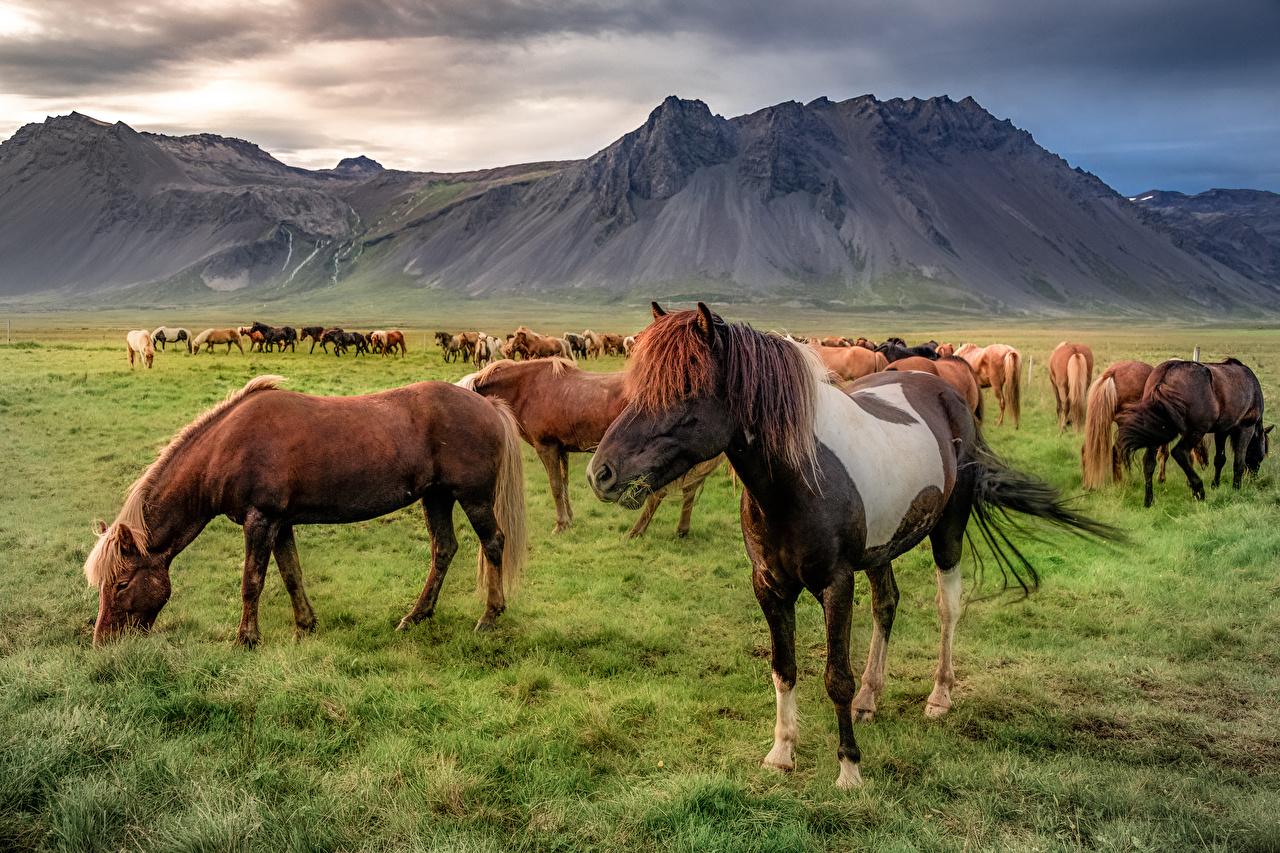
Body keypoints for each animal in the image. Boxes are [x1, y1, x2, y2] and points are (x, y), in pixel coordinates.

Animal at [83, 376, 528, 646]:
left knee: (493, 543)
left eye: (121, 584)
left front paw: (246, 639)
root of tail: (487, 404)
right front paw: (305, 626)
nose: (103, 642)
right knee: (444, 550)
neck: (227, 447)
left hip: (473, 498)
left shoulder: (260, 520)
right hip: (436, 497)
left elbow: (252, 582)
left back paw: (490, 616)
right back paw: (415, 617)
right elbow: (291, 574)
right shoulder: (280, 523)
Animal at [457, 358, 627, 533]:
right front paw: (569, 519)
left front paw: (561, 524)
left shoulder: (546, 448)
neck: (526, 388)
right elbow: (564, 484)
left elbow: (556, 486)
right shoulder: (561, 449)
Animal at [586, 303, 1114, 788]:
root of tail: (947, 391)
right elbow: (784, 668)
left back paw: (939, 696)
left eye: (685, 389)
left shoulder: (836, 585)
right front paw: (781, 752)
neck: (799, 478)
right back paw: (870, 697)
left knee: (948, 609)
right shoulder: (769, 587)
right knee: (887, 605)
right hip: (881, 550)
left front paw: (849, 768)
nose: (600, 473)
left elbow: (834, 677)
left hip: (947, 533)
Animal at [1118, 359, 1269, 507]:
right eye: (1261, 455)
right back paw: (1198, 489)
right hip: (1196, 431)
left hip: (1156, 431)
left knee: (1149, 462)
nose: (1254, 478)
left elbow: (1220, 459)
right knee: (1179, 452)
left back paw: (1148, 501)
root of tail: (1167, 373)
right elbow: (1239, 462)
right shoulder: (1246, 427)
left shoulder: (1221, 431)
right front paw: (1236, 489)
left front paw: (1215, 485)